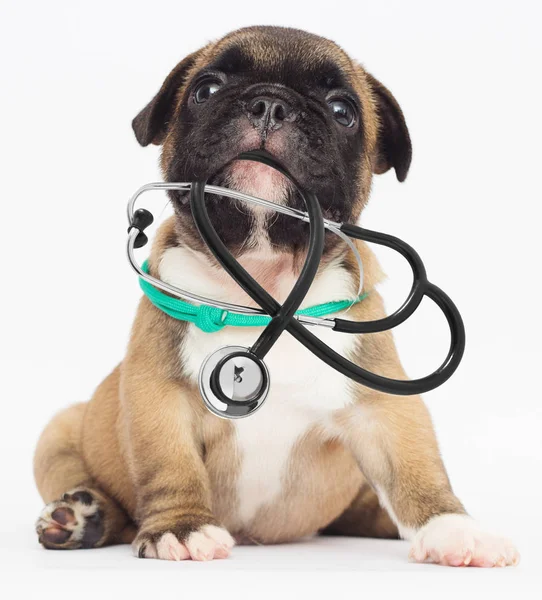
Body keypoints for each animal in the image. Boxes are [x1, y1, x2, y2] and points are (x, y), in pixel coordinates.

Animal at [34, 24, 524, 568]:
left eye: (342, 111)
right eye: (205, 90)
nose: (270, 104)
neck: (265, 279)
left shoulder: (381, 406)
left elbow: (415, 463)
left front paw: (453, 528)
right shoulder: (158, 397)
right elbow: (170, 466)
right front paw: (180, 528)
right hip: (61, 431)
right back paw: (84, 517)